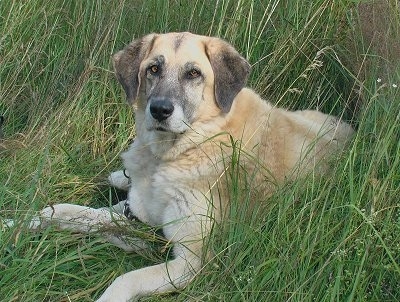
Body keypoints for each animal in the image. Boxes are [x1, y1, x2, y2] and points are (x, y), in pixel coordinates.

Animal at [5, 31, 354, 300]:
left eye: (194, 74)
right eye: (153, 69)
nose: (160, 110)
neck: (173, 155)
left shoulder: (190, 262)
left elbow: (126, 278)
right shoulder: (131, 213)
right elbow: (60, 210)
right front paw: (13, 226)